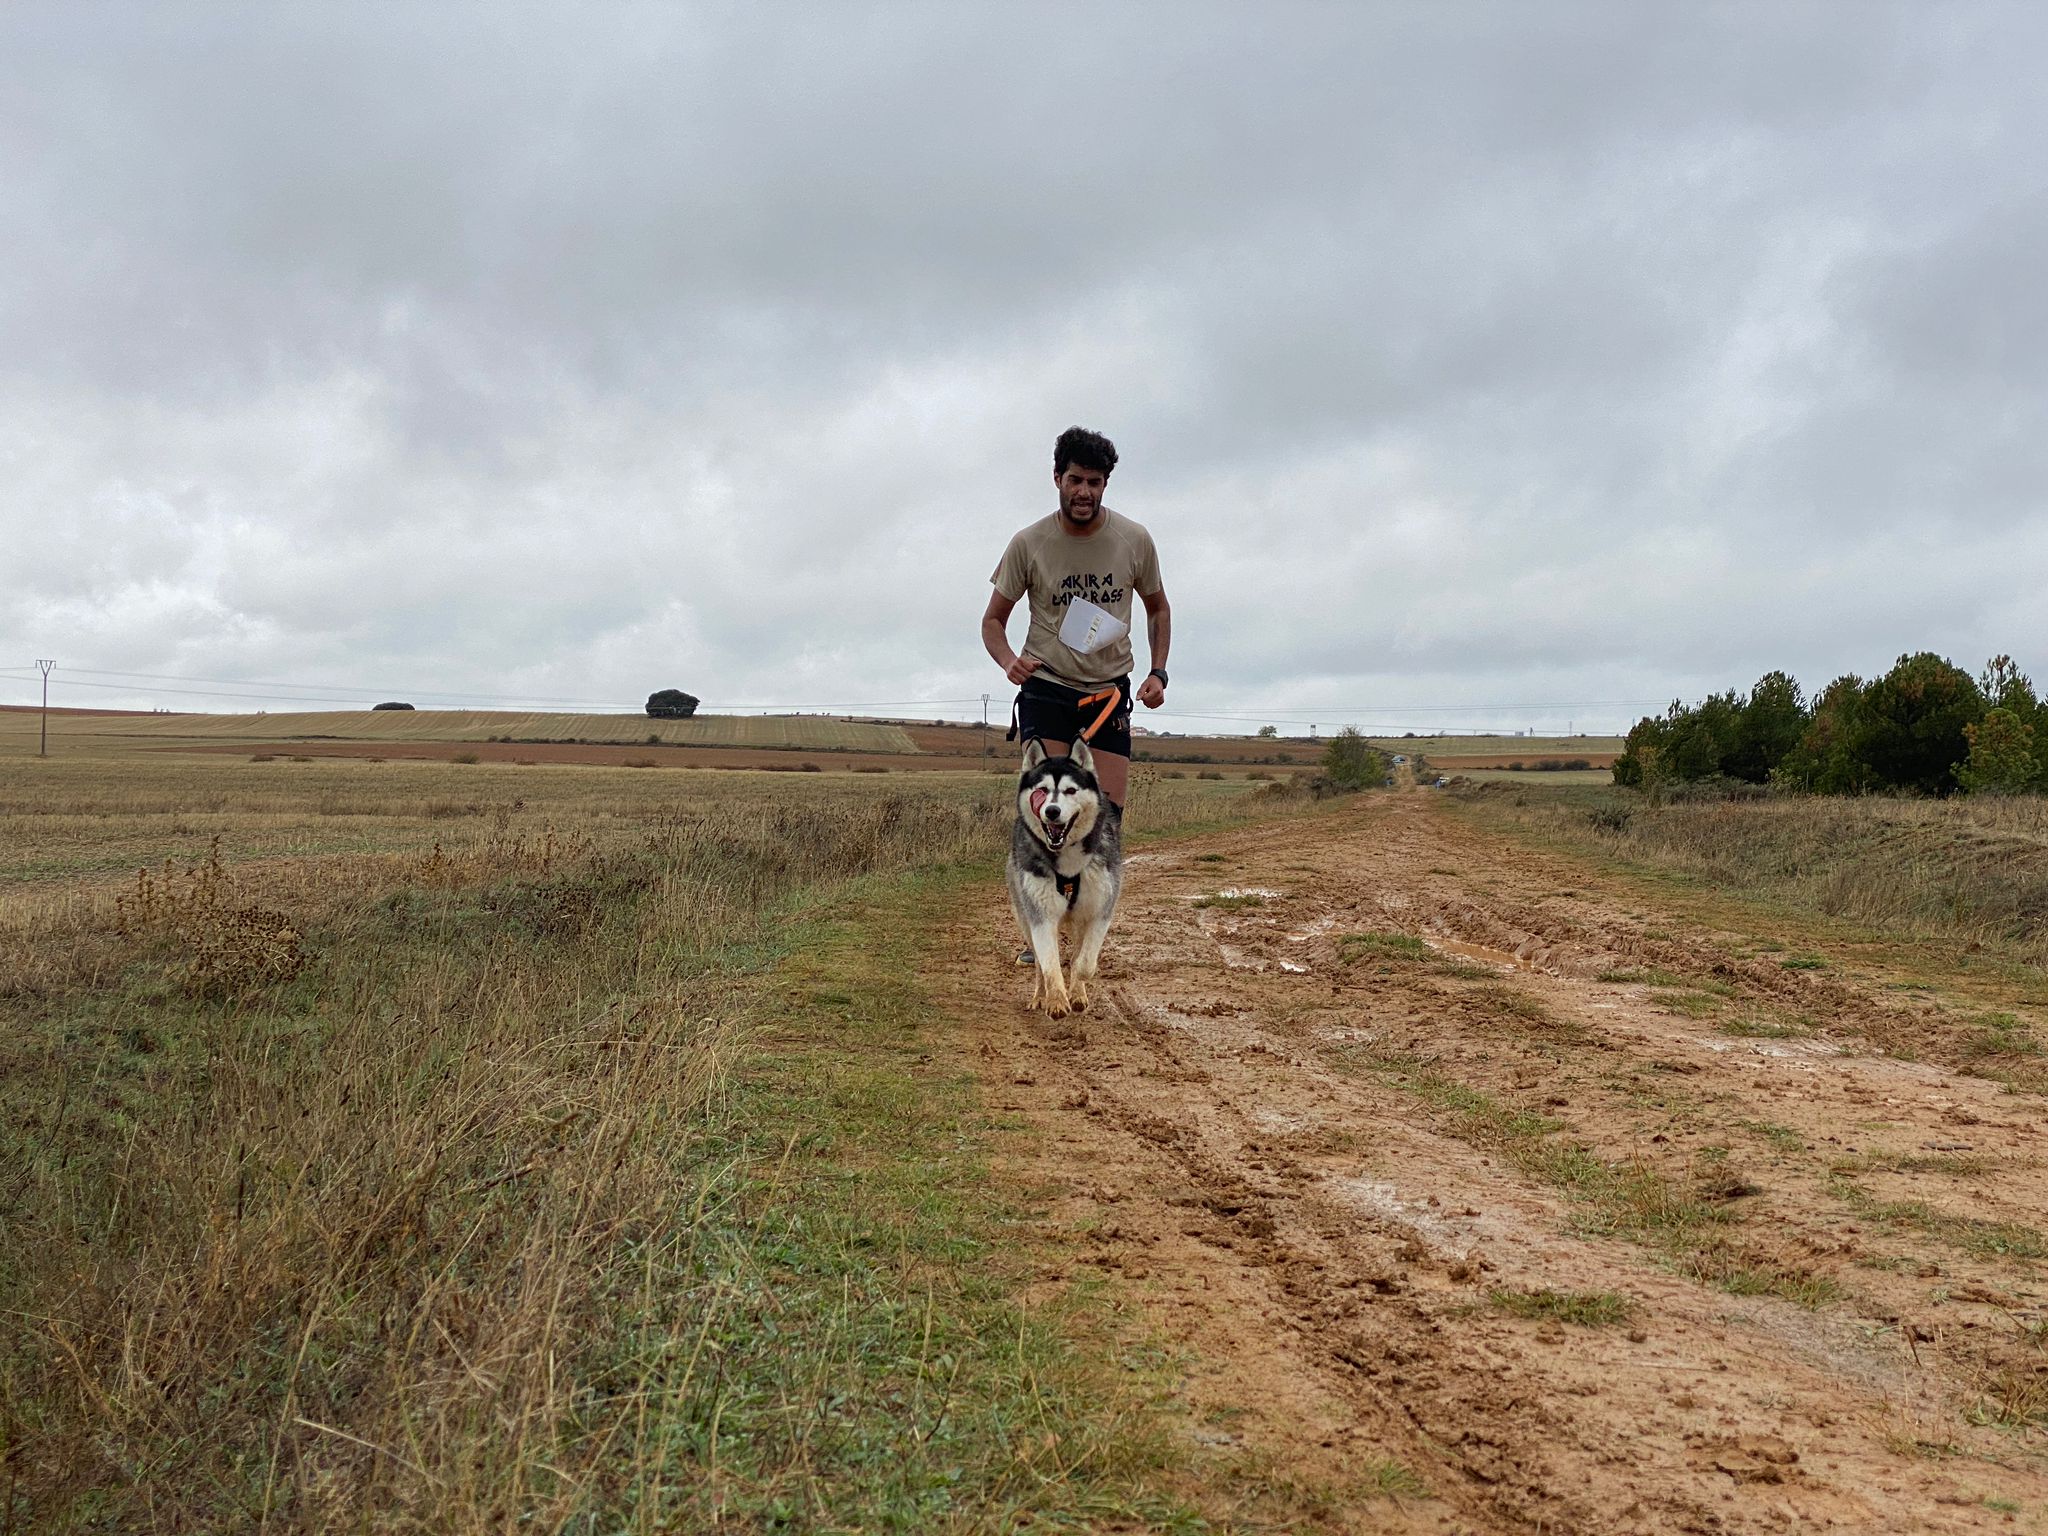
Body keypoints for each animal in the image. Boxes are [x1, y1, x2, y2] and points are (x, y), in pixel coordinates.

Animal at [1003, 737, 1122, 1015]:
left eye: (1070, 790)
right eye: (1042, 790)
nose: (1052, 811)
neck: (1067, 860)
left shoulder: (1100, 910)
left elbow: (1084, 962)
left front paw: (1077, 986)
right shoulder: (1041, 914)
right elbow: (1048, 963)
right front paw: (1056, 999)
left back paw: (1077, 993)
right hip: (1024, 913)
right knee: (1037, 962)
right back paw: (1039, 996)